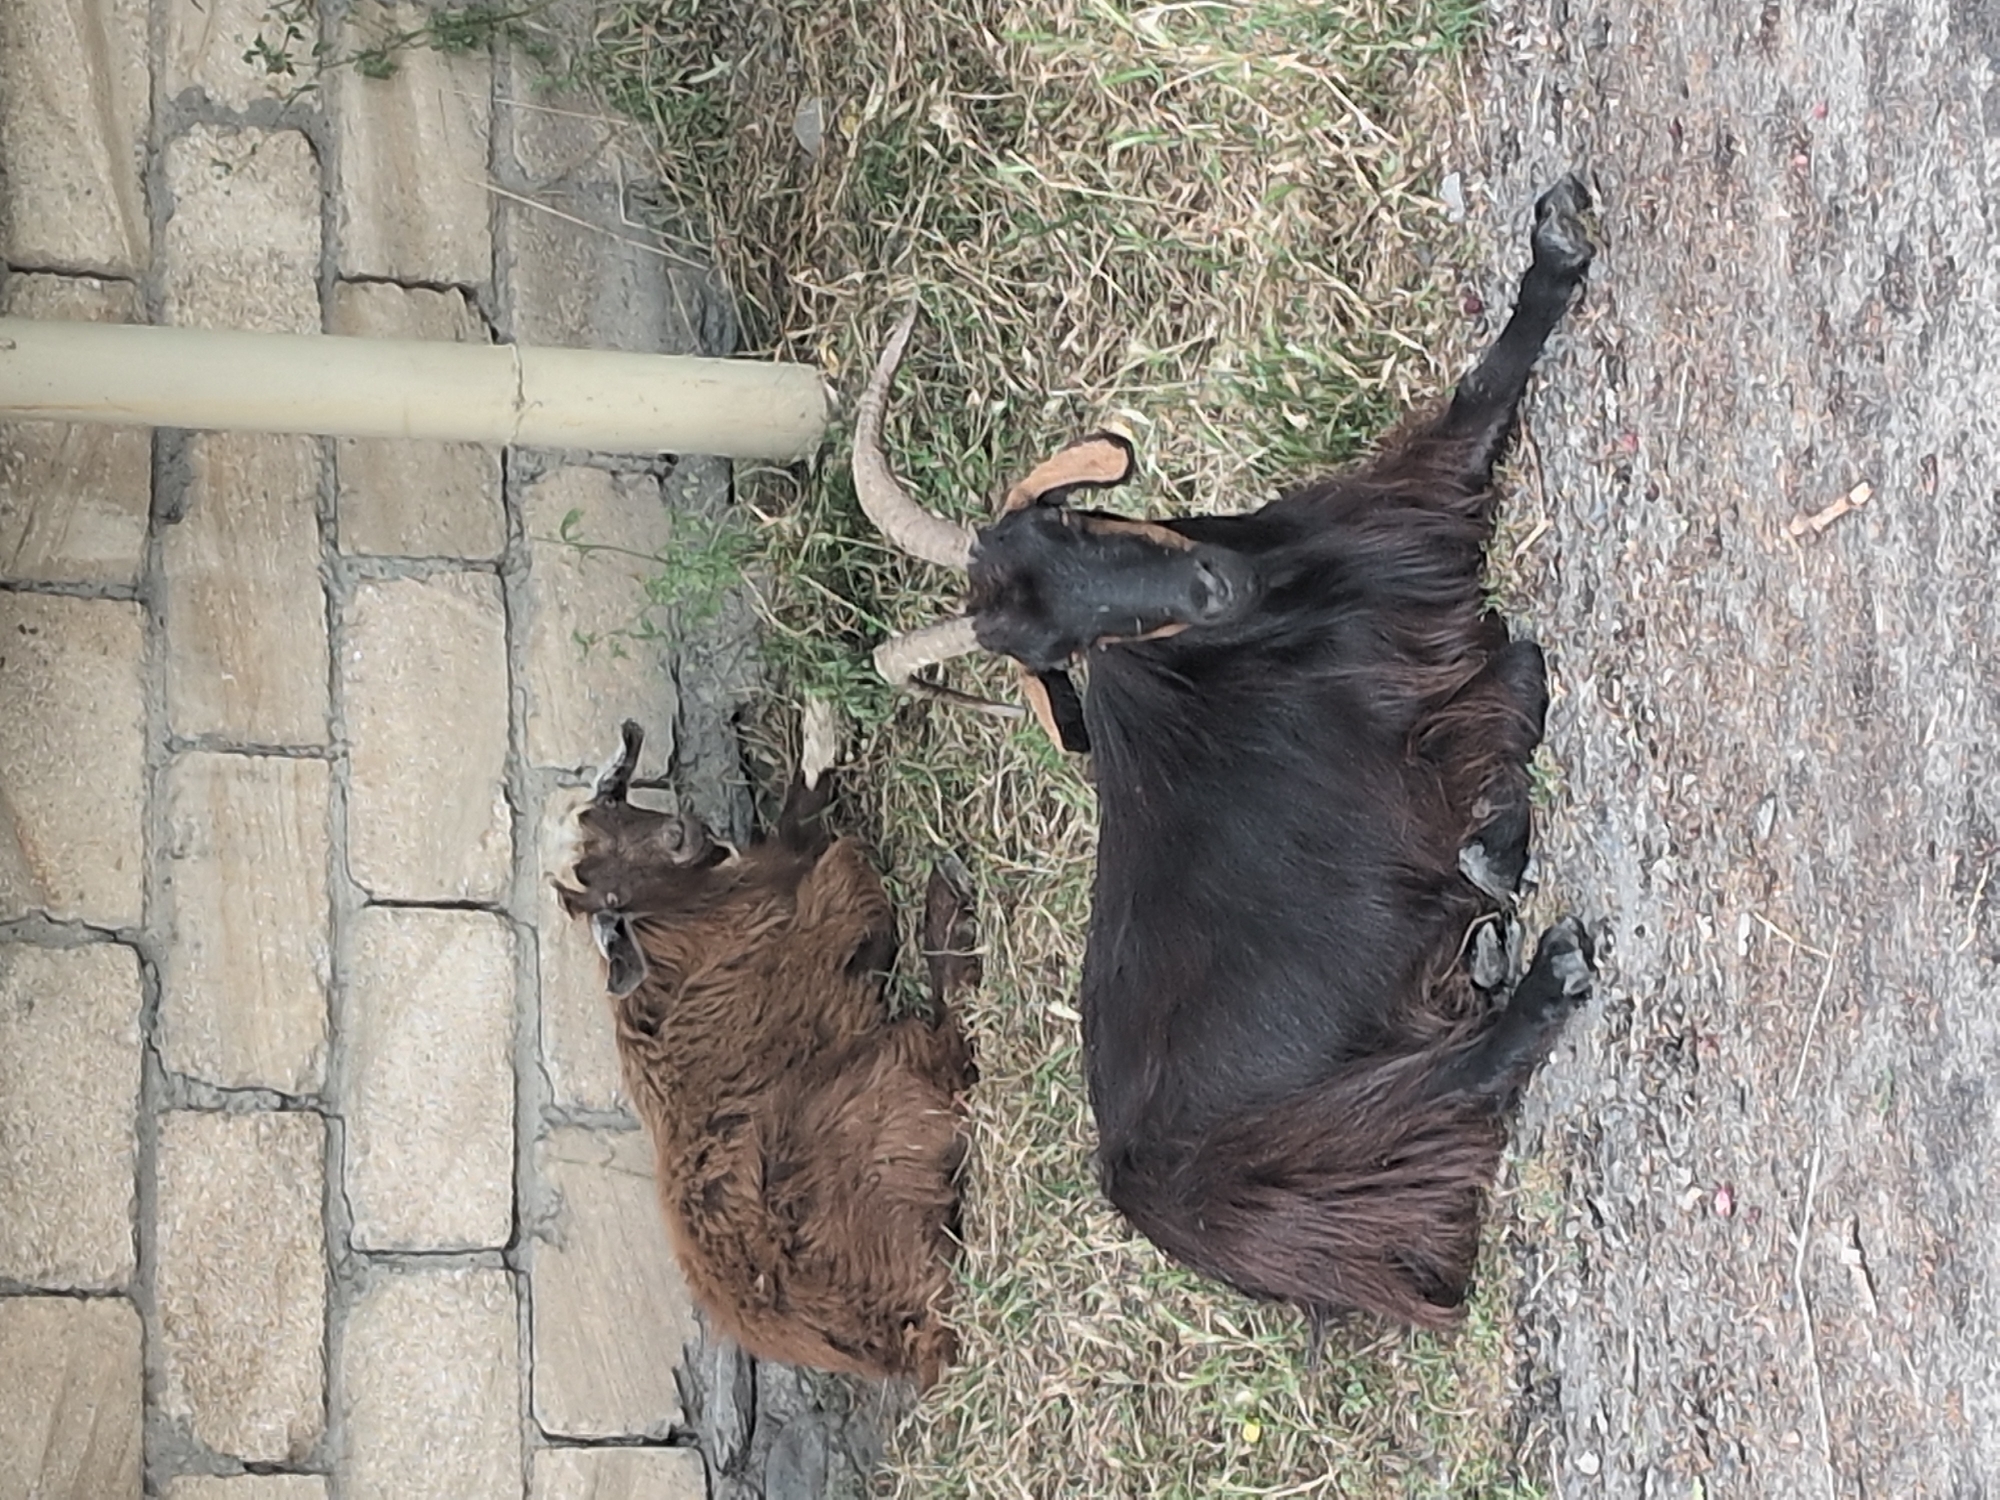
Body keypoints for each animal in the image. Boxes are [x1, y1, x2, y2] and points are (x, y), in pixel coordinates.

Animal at [555, 721, 978, 1386]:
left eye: (617, 807)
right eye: (611, 898)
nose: (682, 836)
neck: (686, 920)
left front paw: (819, 729)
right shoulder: (828, 910)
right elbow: (839, 851)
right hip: (887, 1095)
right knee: (953, 1053)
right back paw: (950, 913)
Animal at [848, 178, 1599, 1331]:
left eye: (1073, 527)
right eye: (1064, 651)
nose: (1212, 588)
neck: (1265, 606)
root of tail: (1156, 1205)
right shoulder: (1412, 649)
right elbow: (1514, 644)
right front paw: (1556, 251)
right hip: (1342, 1138)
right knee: (1455, 1083)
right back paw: (1537, 976)